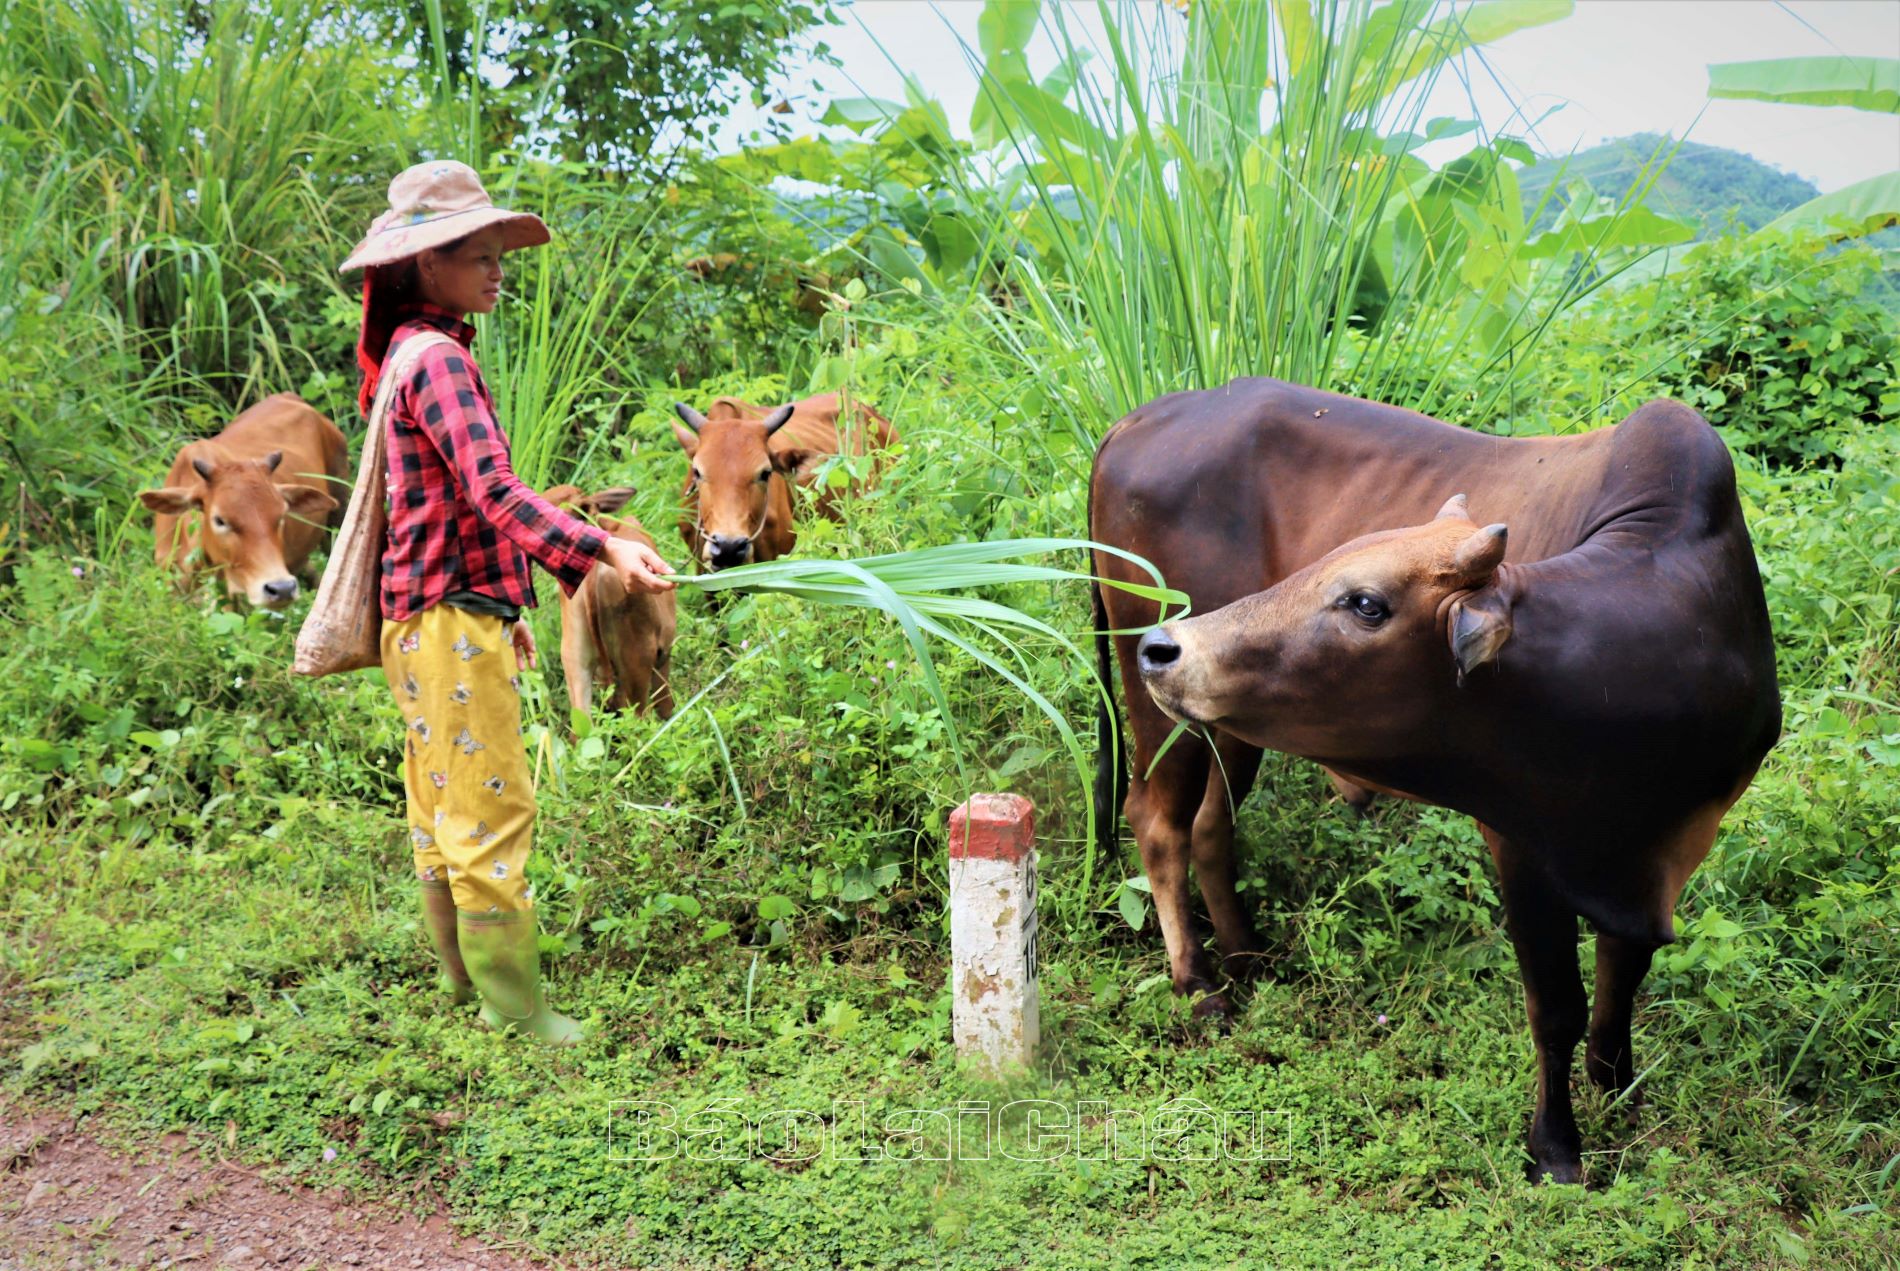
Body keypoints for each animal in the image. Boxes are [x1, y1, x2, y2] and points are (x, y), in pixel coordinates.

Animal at [1094, 381, 1786, 1185]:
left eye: (1364, 601)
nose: (1164, 648)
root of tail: (1140, 418)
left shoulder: (1666, 847)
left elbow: (1623, 976)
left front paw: (1619, 1088)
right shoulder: (1521, 846)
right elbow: (1557, 1005)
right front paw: (1557, 1148)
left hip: (1230, 722)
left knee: (1210, 824)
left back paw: (1247, 957)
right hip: (1163, 714)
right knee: (1158, 822)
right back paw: (1200, 987)